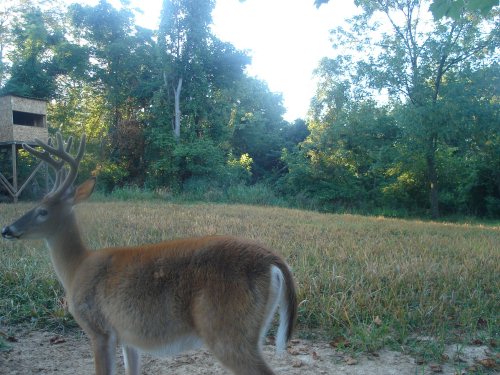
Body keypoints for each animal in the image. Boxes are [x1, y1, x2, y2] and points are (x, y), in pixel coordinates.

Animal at [0, 134, 296, 375]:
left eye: (42, 211)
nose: (7, 229)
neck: (76, 269)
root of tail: (273, 260)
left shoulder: (98, 328)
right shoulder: (127, 336)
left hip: (226, 330)